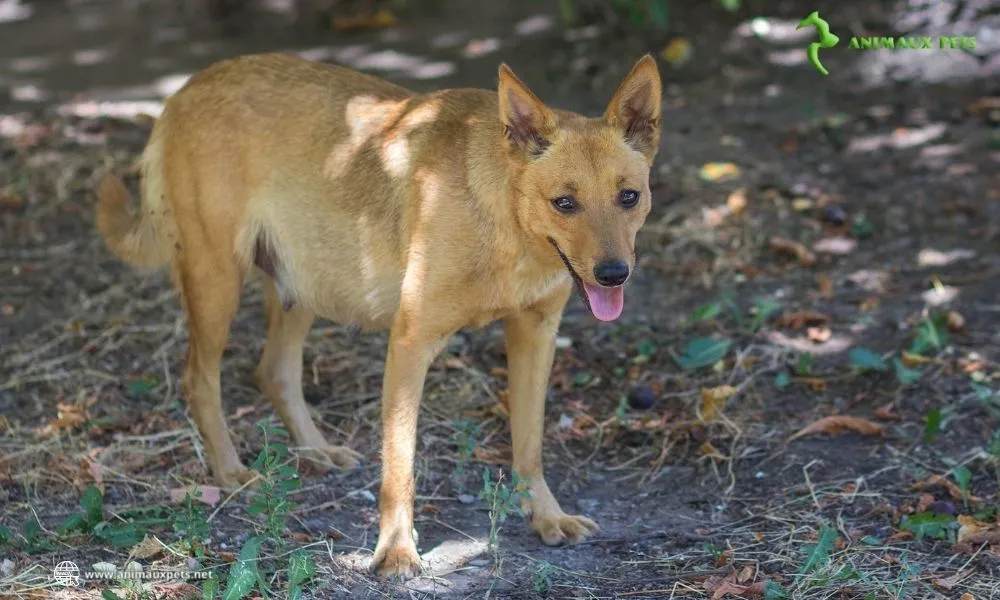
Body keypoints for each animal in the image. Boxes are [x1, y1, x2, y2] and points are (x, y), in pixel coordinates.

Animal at [95, 51, 664, 576]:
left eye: (628, 197)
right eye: (564, 203)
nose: (614, 275)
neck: (507, 225)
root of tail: (186, 89)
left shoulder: (535, 336)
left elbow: (530, 445)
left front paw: (546, 518)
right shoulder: (411, 344)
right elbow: (400, 465)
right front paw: (395, 551)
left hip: (306, 284)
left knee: (273, 370)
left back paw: (316, 451)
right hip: (217, 285)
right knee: (200, 380)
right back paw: (231, 472)